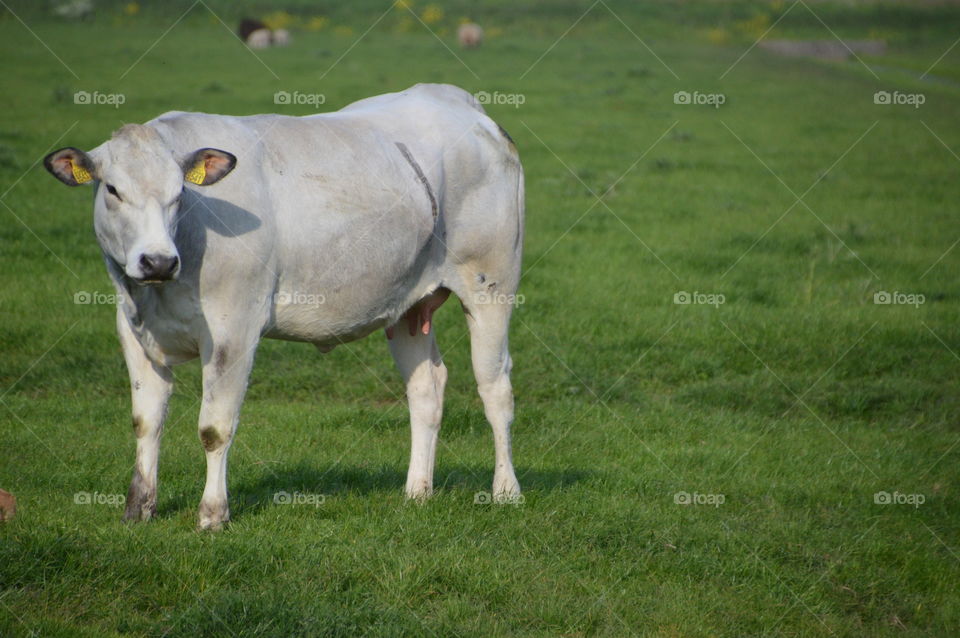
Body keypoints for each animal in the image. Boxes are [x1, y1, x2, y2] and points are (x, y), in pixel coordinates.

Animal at [44, 84, 524, 530]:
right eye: (112, 190)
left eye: (179, 193)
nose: (158, 260)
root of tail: (456, 100)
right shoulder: (134, 328)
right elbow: (146, 422)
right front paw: (138, 509)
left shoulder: (233, 330)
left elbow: (214, 428)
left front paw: (213, 514)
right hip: (408, 304)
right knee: (426, 388)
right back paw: (417, 491)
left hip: (492, 286)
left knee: (495, 388)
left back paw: (505, 490)